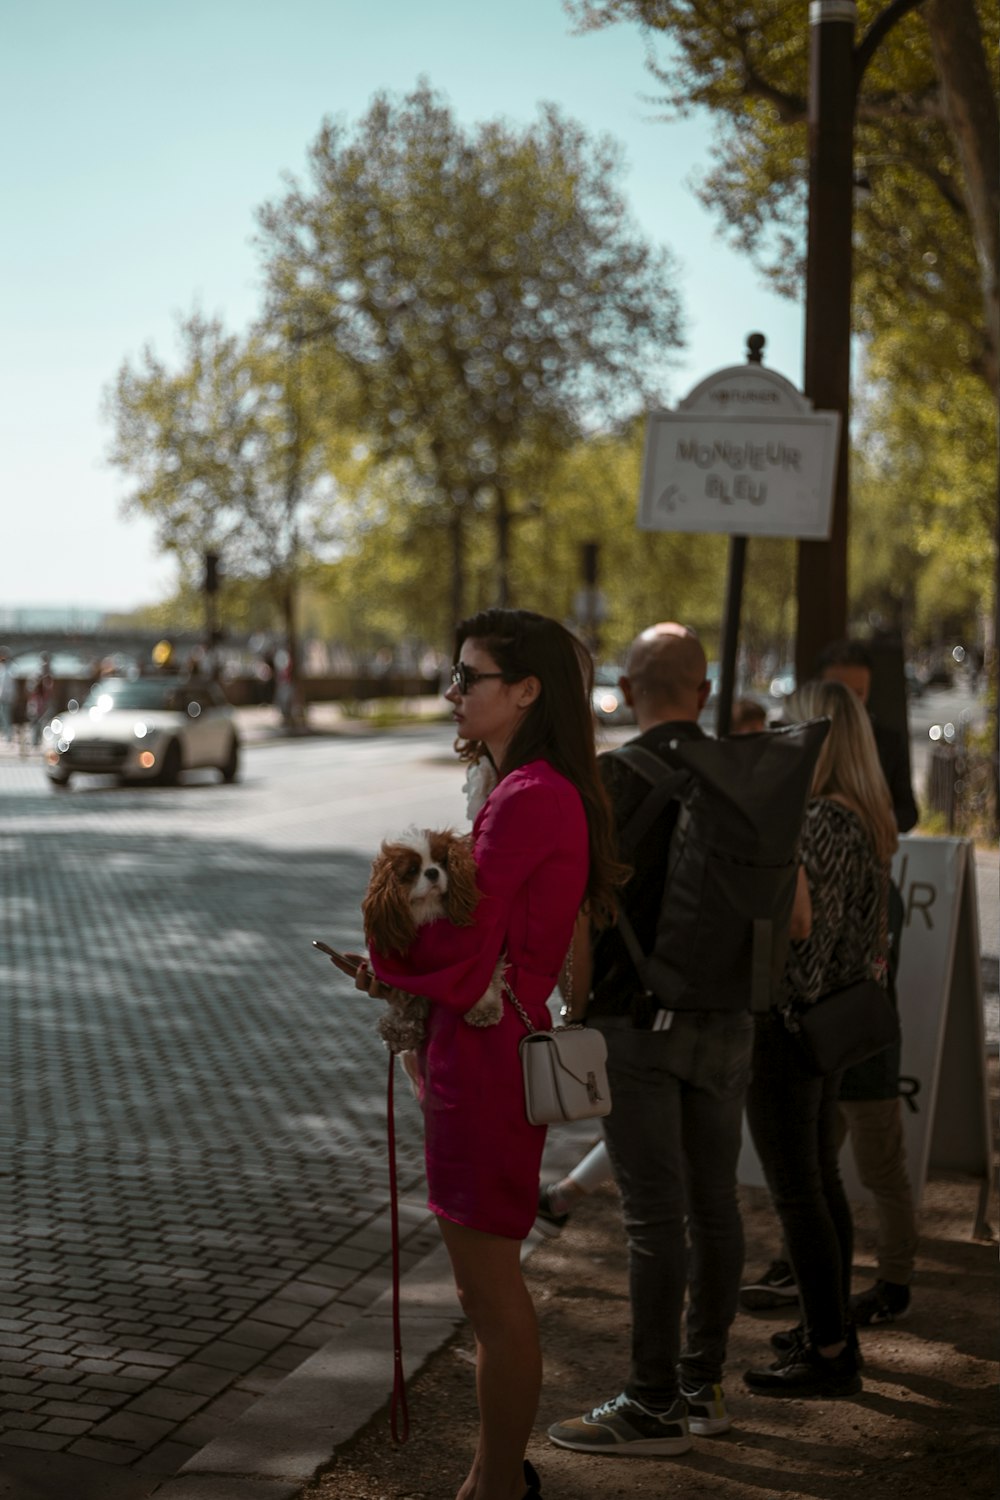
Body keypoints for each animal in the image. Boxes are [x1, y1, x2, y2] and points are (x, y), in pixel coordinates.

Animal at [361, 834, 503, 1056]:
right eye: (412, 870)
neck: (428, 909)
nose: (432, 872)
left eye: (441, 861)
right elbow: (404, 996)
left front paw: (484, 1010)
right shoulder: (401, 967)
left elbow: (479, 977)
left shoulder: (479, 948)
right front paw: (399, 1028)